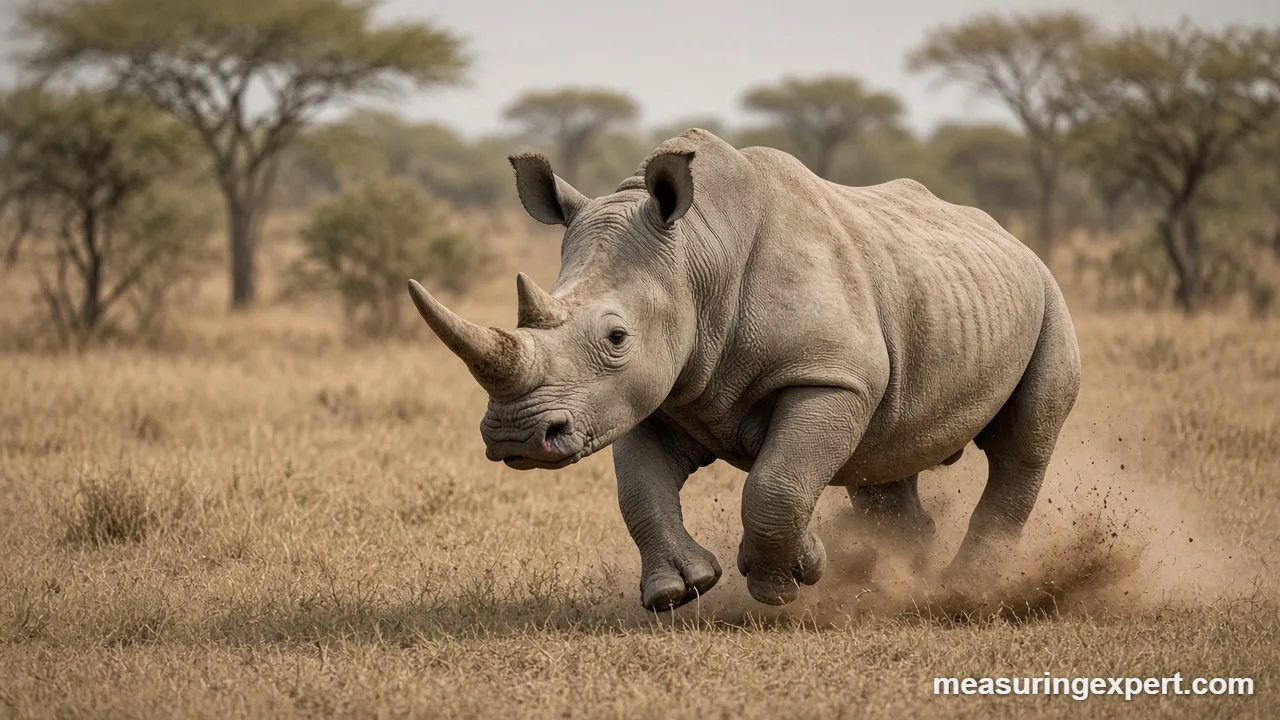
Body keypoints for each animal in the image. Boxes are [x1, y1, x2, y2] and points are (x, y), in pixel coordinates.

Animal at [407, 129, 1081, 610]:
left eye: (616, 337)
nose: (516, 438)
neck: (698, 255)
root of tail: (1006, 233)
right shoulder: (647, 390)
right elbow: (639, 491)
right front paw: (680, 589)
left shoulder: (829, 374)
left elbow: (776, 482)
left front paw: (785, 580)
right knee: (884, 459)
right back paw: (901, 580)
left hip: (1049, 294)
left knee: (1022, 445)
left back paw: (965, 589)